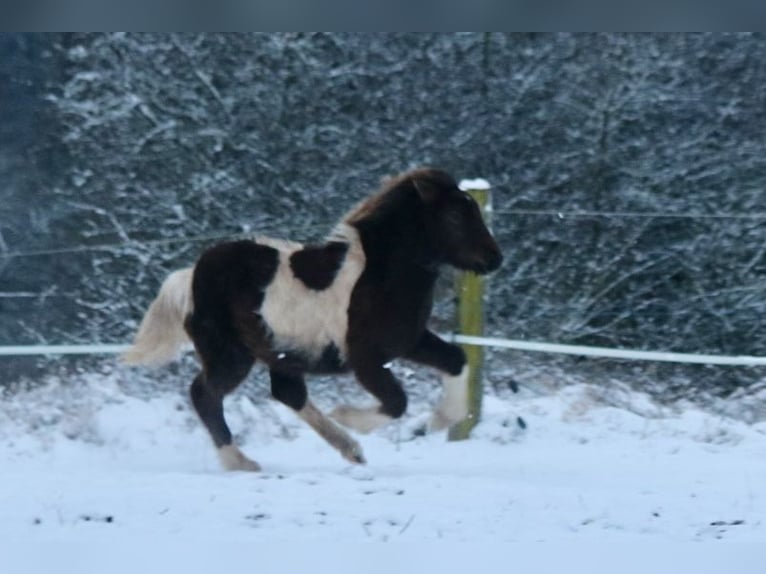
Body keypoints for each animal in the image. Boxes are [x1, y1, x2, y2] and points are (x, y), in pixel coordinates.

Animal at [123, 167, 503, 471]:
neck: (381, 275)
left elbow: (457, 359)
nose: (494, 259)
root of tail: (192, 275)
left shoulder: (409, 341)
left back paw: (351, 451)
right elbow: (397, 402)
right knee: (204, 394)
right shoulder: (366, 358)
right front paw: (348, 415)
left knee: (287, 394)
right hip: (230, 357)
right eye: (454, 217)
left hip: (281, 354)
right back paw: (241, 463)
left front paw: (439, 420)